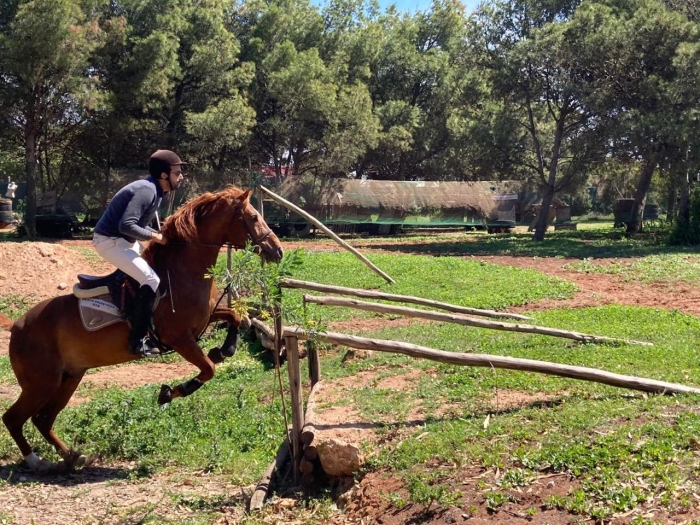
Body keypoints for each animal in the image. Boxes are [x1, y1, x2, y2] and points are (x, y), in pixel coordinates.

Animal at [1, 186, 283, 474]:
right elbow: (208, 369)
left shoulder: (206, 318)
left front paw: (224, 349)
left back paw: (71, 456)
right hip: (41, 384)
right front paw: (172, 392)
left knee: (42, 420)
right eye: (253, 217)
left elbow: (235, 317)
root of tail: (18, 326)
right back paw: (36, 460)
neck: (184, 271)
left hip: (69, 378)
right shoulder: (179, 338)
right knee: (13, 418)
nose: (278, 251)